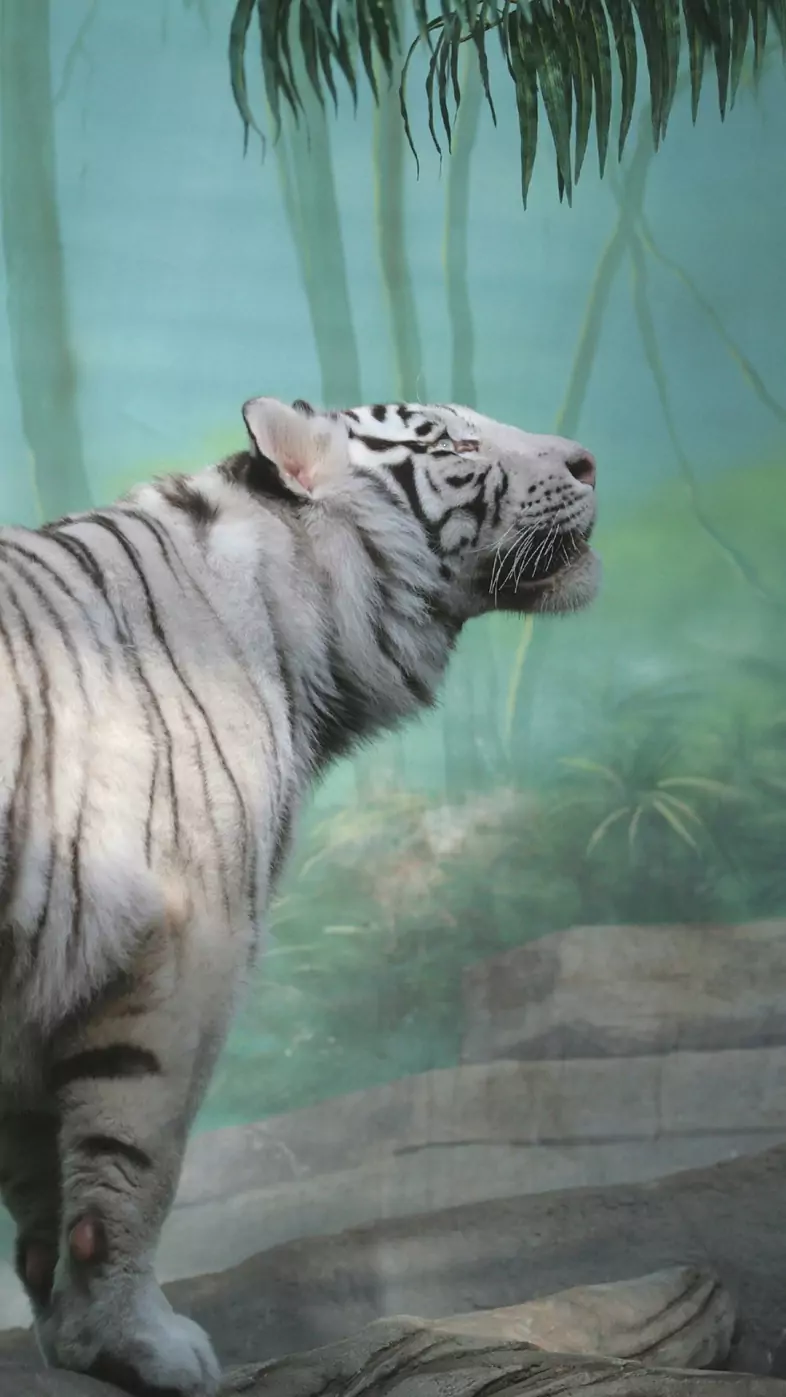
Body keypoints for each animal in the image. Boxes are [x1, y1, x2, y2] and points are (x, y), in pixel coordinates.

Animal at [0, 395, 598, 1394]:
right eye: (456, 441)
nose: (589, 461)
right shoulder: (183, 947)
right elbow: (136, 1164)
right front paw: (139, 1344)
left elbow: (40, 1175)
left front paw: (67, 1336)